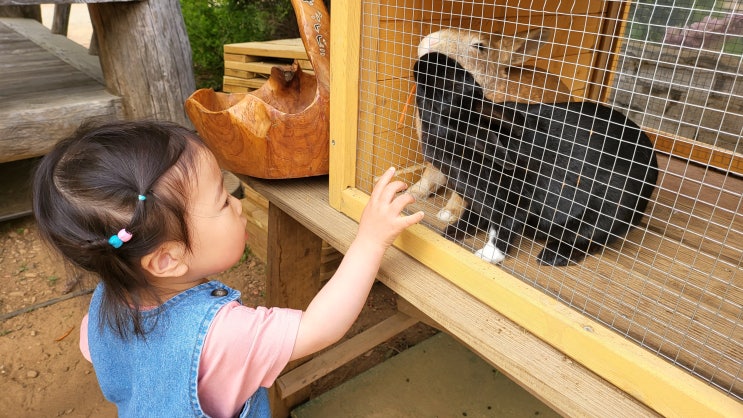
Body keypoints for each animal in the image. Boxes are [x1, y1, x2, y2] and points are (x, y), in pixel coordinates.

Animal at [416, 51, 660, 264]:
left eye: (448, 87)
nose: (428, 57)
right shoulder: (477, 200)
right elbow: (473, 216)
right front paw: (452, 232)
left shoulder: (514, 201)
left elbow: (503, 228)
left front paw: (486, 255)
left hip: (609, 214)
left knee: (588, 240)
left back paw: (551, 256)